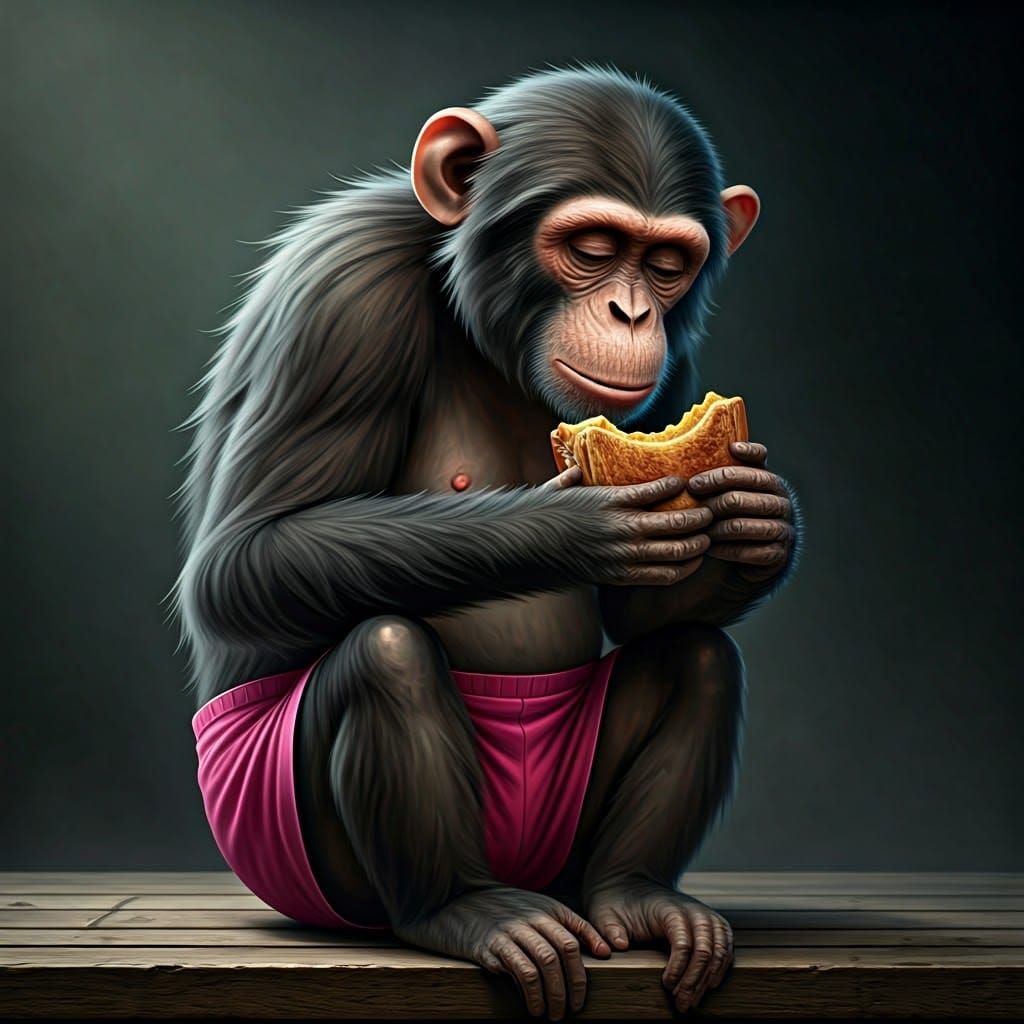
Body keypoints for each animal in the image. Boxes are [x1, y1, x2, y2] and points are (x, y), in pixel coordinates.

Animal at [172, 65, 801, 1020]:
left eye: (666, 265)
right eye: (591, 245)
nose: (630, 311)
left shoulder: (676, 375)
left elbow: (648, 616)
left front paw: (762, 523)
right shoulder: (341, 293)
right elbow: (240, 560)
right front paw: (576, 527)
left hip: (562, 847)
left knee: (697, 657)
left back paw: (637, 896)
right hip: (269, 828)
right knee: (386, 652)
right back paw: (462, 909)